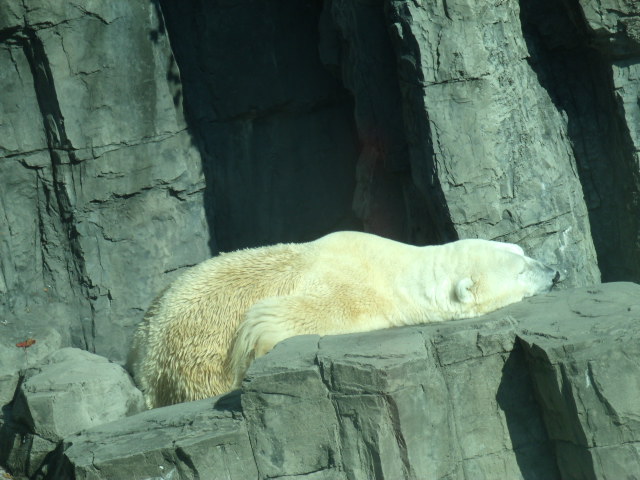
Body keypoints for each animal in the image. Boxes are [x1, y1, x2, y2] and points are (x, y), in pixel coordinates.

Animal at [128, 231, 559, 408]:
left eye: (523, 252)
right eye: (521, 270)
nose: (555, 271)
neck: (400, 267)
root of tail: (146, 369)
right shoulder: (358, 290)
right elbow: (285, 315)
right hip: (190, 365)